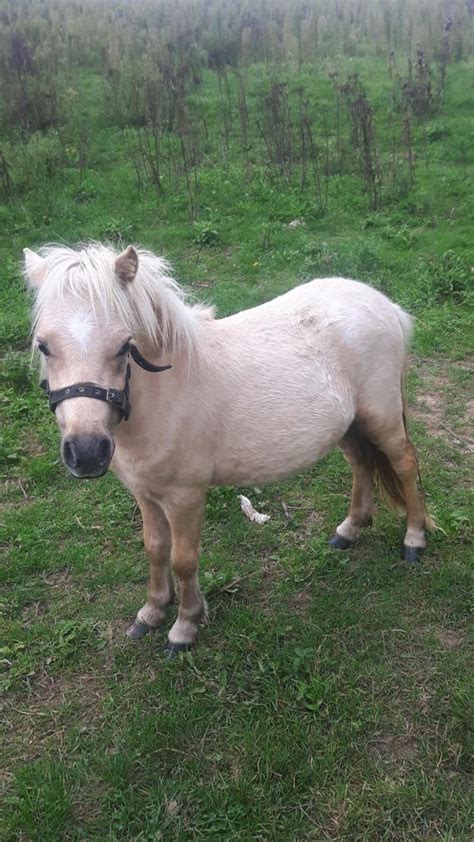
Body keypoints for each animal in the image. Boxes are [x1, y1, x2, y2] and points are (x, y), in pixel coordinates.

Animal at [23, 243, 433, 656]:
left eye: (125, 346)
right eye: (44, 345)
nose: (87, 452)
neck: (166, 392)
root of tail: (385, 305)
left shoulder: (185, 497)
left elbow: (183, 560)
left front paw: (184, 627)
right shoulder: (145, 493)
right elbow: (155, 549)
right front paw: (152, 613)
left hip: (381, 417)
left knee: (404, 464)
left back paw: (414, 540)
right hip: (349, 426)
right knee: (362, 466)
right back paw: (348, 531)